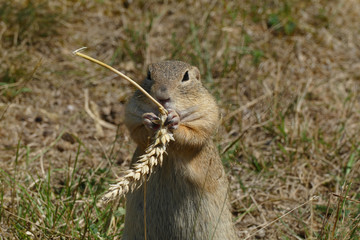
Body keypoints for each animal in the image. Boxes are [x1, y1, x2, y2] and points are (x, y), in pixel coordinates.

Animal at [124, 60, 236, 240]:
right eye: (148, 74)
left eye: (186, 76)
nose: (162, 98)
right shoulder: (131, 112)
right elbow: (137, 130)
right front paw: (148, 120)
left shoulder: (207, 112)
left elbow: (195, 134)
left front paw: (175, 120)